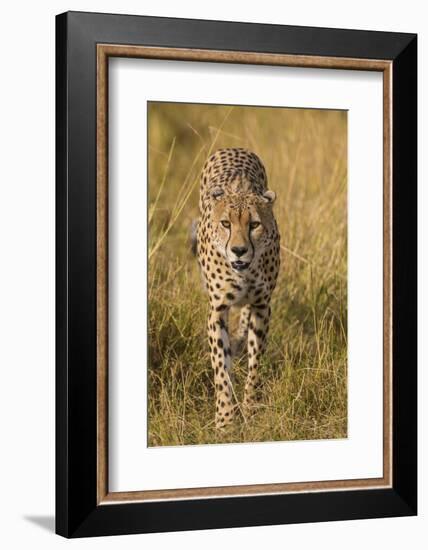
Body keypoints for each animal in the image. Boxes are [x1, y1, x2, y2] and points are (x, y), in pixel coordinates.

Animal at [195, 148, 280, 432]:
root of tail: (233, 148)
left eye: (254, 224)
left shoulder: (262, 306)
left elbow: (255, 365)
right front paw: (225, 420)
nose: (239, 250)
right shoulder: (217, 309)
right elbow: (221, 369)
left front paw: (250, 409)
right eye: (225, 224)